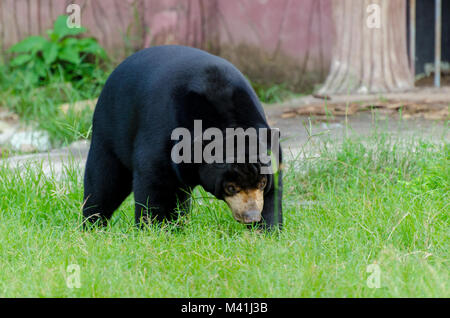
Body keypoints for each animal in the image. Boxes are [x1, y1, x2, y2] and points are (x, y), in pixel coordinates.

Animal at [82, 44, 284, 229]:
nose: (251, 216)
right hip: (109, 131)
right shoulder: (162, 135)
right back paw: (92, 224)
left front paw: (267, 230)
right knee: (104, 182)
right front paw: (154, 229)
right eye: (230, 187)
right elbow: (153, 184)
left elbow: (272, 193)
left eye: (261, 183)